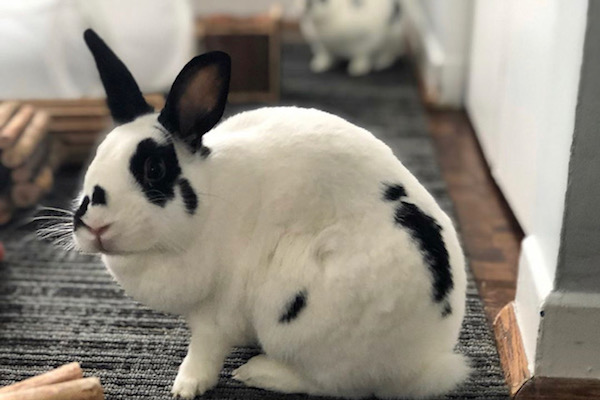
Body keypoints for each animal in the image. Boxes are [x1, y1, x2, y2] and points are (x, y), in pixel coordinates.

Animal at [72, 29, 468, 400]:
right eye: (97, 158)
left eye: (154, 170)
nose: (94, 226)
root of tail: (426, 362)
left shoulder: (217, 313)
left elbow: (204, 350)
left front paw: (186, 386)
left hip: (299, 317)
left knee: (334, 384)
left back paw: (259, 372)